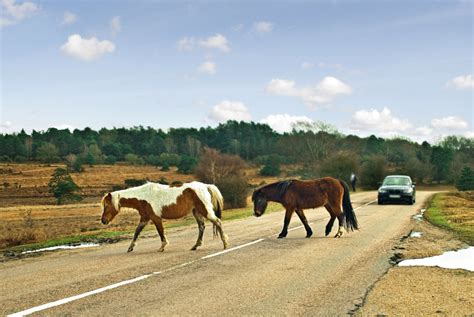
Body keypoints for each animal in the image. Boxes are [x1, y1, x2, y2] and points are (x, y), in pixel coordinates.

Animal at [100, 180, 228, 252]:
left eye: (106, 205)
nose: (103, 221)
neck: (144, 197)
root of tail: (206, 186)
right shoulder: (145, 218)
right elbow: (137, 232)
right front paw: (130, 248)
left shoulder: (155, 218)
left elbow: (160, 232)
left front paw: (162, 247)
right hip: (197, 212)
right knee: (202, 227)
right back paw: (195, 246)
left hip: (205, 211)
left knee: (217, 222)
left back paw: (225, 244)